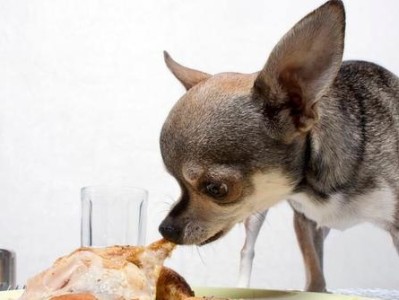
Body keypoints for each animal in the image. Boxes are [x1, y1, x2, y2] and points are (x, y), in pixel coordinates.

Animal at [159, 0, 399, 290]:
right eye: (177, 182)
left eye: (216, 189)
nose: (165, 229)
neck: (317, 187)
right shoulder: (305, 221)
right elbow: (314, 268)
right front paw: (315, 289)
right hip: (257, 214)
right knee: (247, 250)